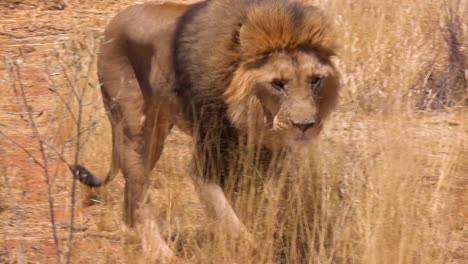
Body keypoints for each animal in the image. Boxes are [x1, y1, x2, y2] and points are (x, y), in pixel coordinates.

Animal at [73, 0, 340, 260]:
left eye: (315, 80)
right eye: (277, 84)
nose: (305, 125)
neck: (253, 119)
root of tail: (113, 22)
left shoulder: (265, 161)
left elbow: (254, 207)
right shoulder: (205, 164)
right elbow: (229, 217)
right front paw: (252, 248)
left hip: (156, 134)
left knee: (132, 181)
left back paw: (130, 232)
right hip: (132, 123)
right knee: (139, 188)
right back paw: (158, 251)